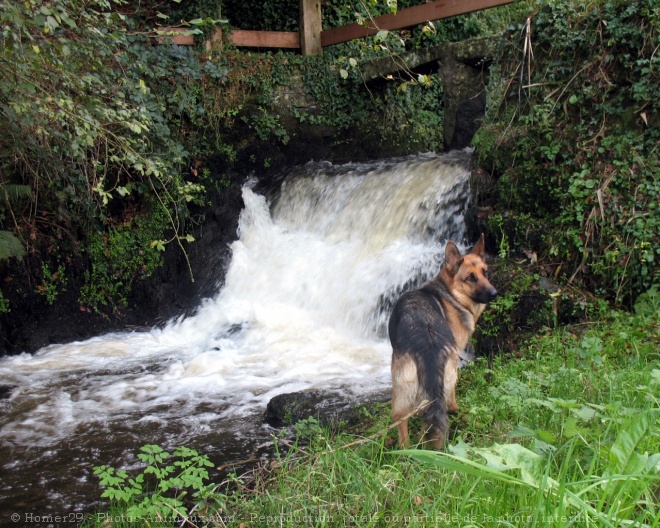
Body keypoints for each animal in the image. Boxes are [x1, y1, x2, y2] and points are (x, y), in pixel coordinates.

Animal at [386, 235, 496, 450]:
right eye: (470, 278)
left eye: (485, 272)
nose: (494, 293)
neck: (451, 294)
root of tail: (427, 342)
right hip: (443, 375)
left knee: (413, 421)